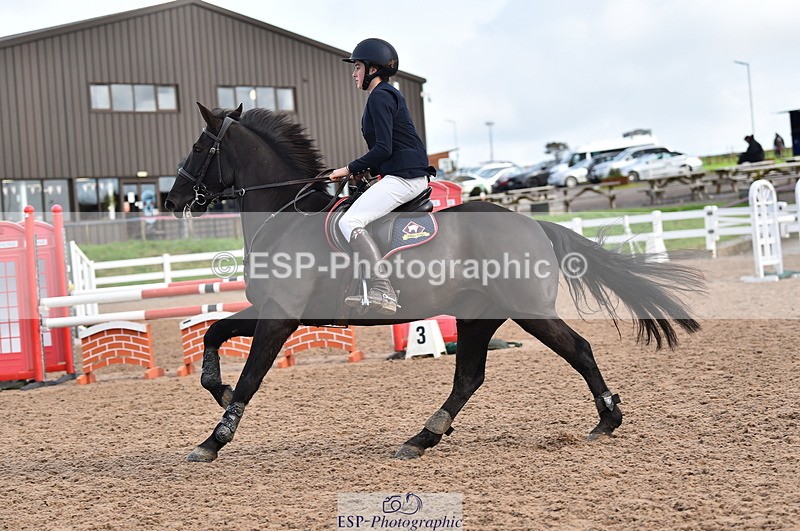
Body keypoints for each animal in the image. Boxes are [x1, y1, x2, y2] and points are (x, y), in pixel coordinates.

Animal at [164, 103, 704, 462]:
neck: (284, 215)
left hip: (528, 311)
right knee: (469, 377)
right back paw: (422, 437)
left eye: (198, 147)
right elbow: (214, 335)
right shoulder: (274, 313)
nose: (171, 200)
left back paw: (607, 419)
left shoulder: (280, 318)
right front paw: (218, 392)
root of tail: (532, 223)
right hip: (477, 315)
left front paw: (214, 439)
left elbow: (251, 377)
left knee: (578, 349)